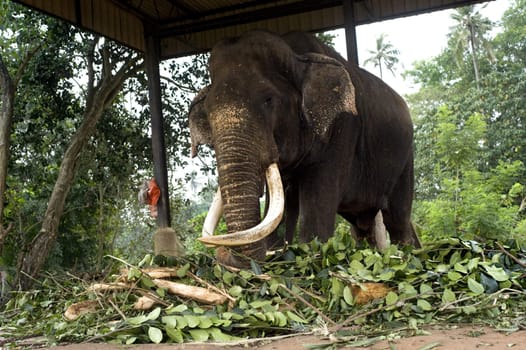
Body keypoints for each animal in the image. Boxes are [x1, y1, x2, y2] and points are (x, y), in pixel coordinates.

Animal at [189, 30, 420, 268]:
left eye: (268, 100)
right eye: (207, 110)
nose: (221, 253)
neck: (296, 56)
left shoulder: (343, 126)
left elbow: (318, 199)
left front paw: (312, 254)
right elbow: (281, 205)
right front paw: (276, 250)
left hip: (405, 160)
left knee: (398, 219)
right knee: (362, 226)